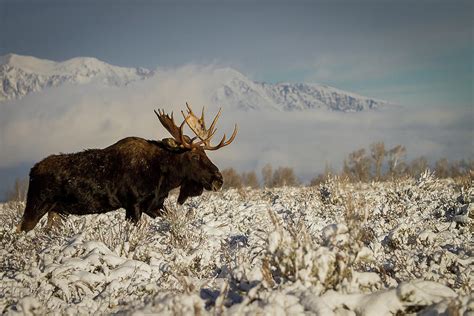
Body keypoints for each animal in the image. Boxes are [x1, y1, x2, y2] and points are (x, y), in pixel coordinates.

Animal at [17, 103, 237, 232]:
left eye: (206, 154)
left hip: (57, 211)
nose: (219, 179)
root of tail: (31, 171)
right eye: (194, 155)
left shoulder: (153, 204)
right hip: (36, 205)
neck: (164, 177)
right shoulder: (133, 204)